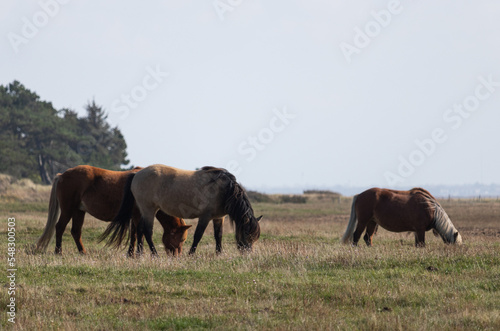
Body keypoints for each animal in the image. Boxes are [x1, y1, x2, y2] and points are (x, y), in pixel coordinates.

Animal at [35, 166, 191, 256]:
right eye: (182, 239)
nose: (177, 256)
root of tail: (62, 175)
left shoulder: (135, 216)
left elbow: (134, 234)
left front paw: (131, 253)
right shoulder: (137, 215)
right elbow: (138, 233)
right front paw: (138, 253)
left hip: (79, 211)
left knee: (75, 231)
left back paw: (82, 252)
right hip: (68, 210)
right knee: (60, 227)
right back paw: (58, 251)